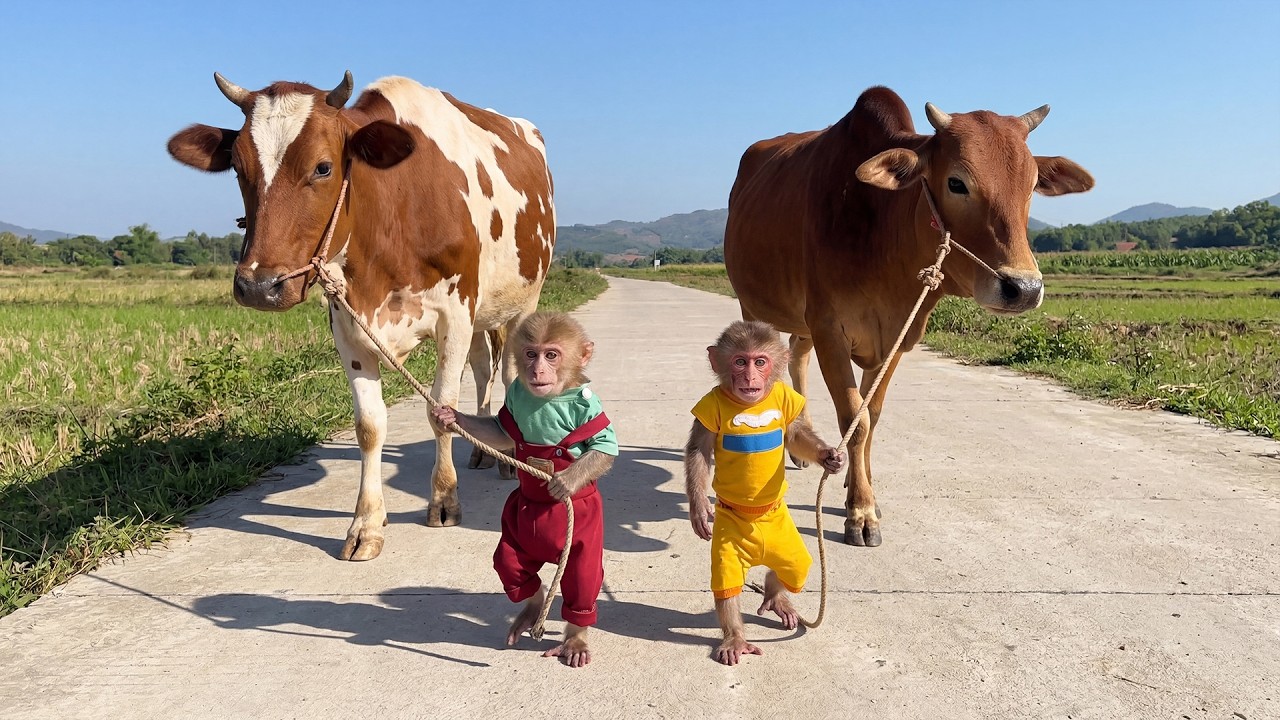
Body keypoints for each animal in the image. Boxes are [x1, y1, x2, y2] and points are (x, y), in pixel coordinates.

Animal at [431, 311, 617, 667]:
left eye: (552, 355)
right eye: (532, 353)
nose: (537, 370)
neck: (551, 397)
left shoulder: (592, 412)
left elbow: (602, 450)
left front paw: (565, 482)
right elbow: (500, 432)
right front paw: (449, 415)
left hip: (583, 537)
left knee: (581, 579)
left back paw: (575, 639)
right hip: (516, 527)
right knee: (511, 565)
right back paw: (531, 607)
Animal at [684, 320, 846, 665]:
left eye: (760, 361)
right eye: (739, 361)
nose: (749, 378)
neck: (750, 405)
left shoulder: (785, 397)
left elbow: (794, 433)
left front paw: (829, 457)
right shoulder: (708, 408)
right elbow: (699, 452)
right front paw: (699, 507)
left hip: (783, 534)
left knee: (796, 567)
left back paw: (775, 595)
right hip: (731, 537)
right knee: (728, 581)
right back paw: (735, 638)